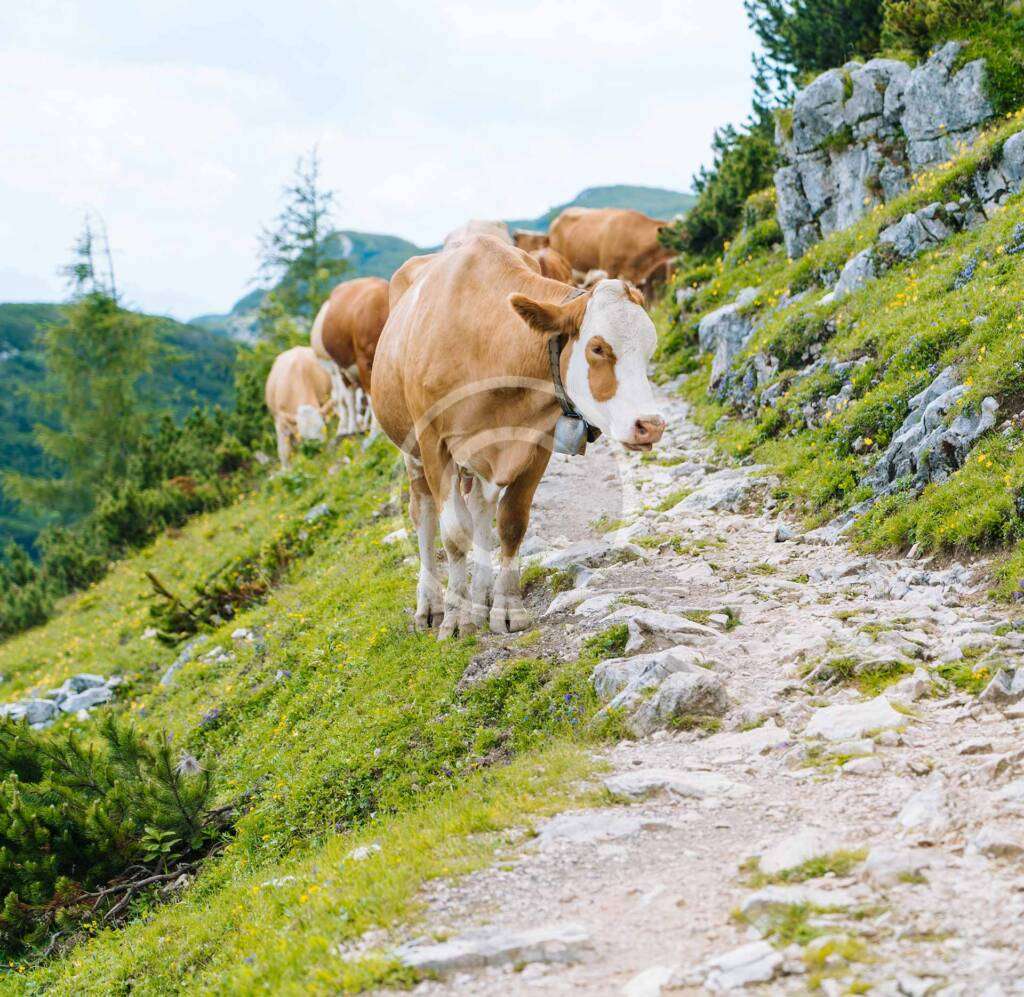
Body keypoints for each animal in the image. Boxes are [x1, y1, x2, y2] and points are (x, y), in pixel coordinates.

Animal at [371, 236, 665, 639]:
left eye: (650, 348)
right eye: (598, 348)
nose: (650, 424)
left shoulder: (535, 443)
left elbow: (511, 523)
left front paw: (505, 608)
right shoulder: (434, 444)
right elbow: (454, 534)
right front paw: (455, 618)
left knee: (480, 508)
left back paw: (481, 597)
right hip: (411, 451)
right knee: (424, 515)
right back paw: (430, 604)